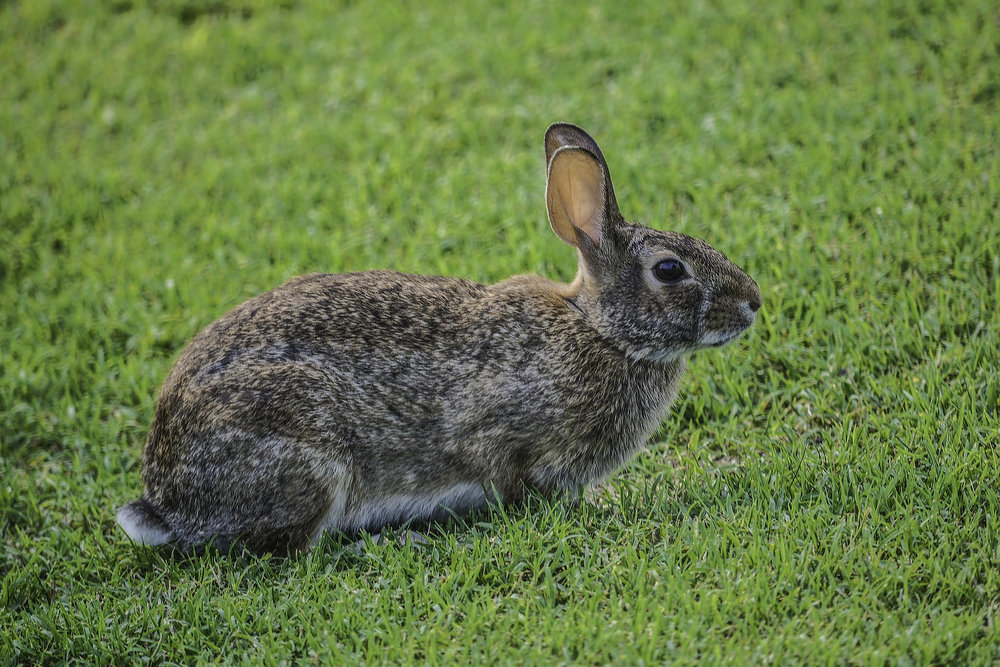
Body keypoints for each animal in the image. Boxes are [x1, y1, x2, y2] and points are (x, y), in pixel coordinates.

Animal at [116, 123, 761, 554]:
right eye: (670, 270)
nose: (753, 302)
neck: (600, 331)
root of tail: (166, 500)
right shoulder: (508, 435)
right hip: (306, 454)